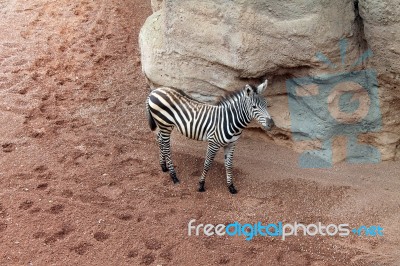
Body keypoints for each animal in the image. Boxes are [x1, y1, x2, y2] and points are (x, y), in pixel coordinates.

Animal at [147, 80, 276, 194]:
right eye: (254, 107)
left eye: (266, 104)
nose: (271, 124)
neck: (230, 120)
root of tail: (155, 91)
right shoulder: (214, 143)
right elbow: (207, 163)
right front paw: (201, 185)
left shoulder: (231, 144)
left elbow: (229, 165)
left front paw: (231, 186)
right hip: (165, 125)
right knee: (166, 146)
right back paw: (174, 176)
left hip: (164, 126)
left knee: (160, 139)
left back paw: (163, 166)